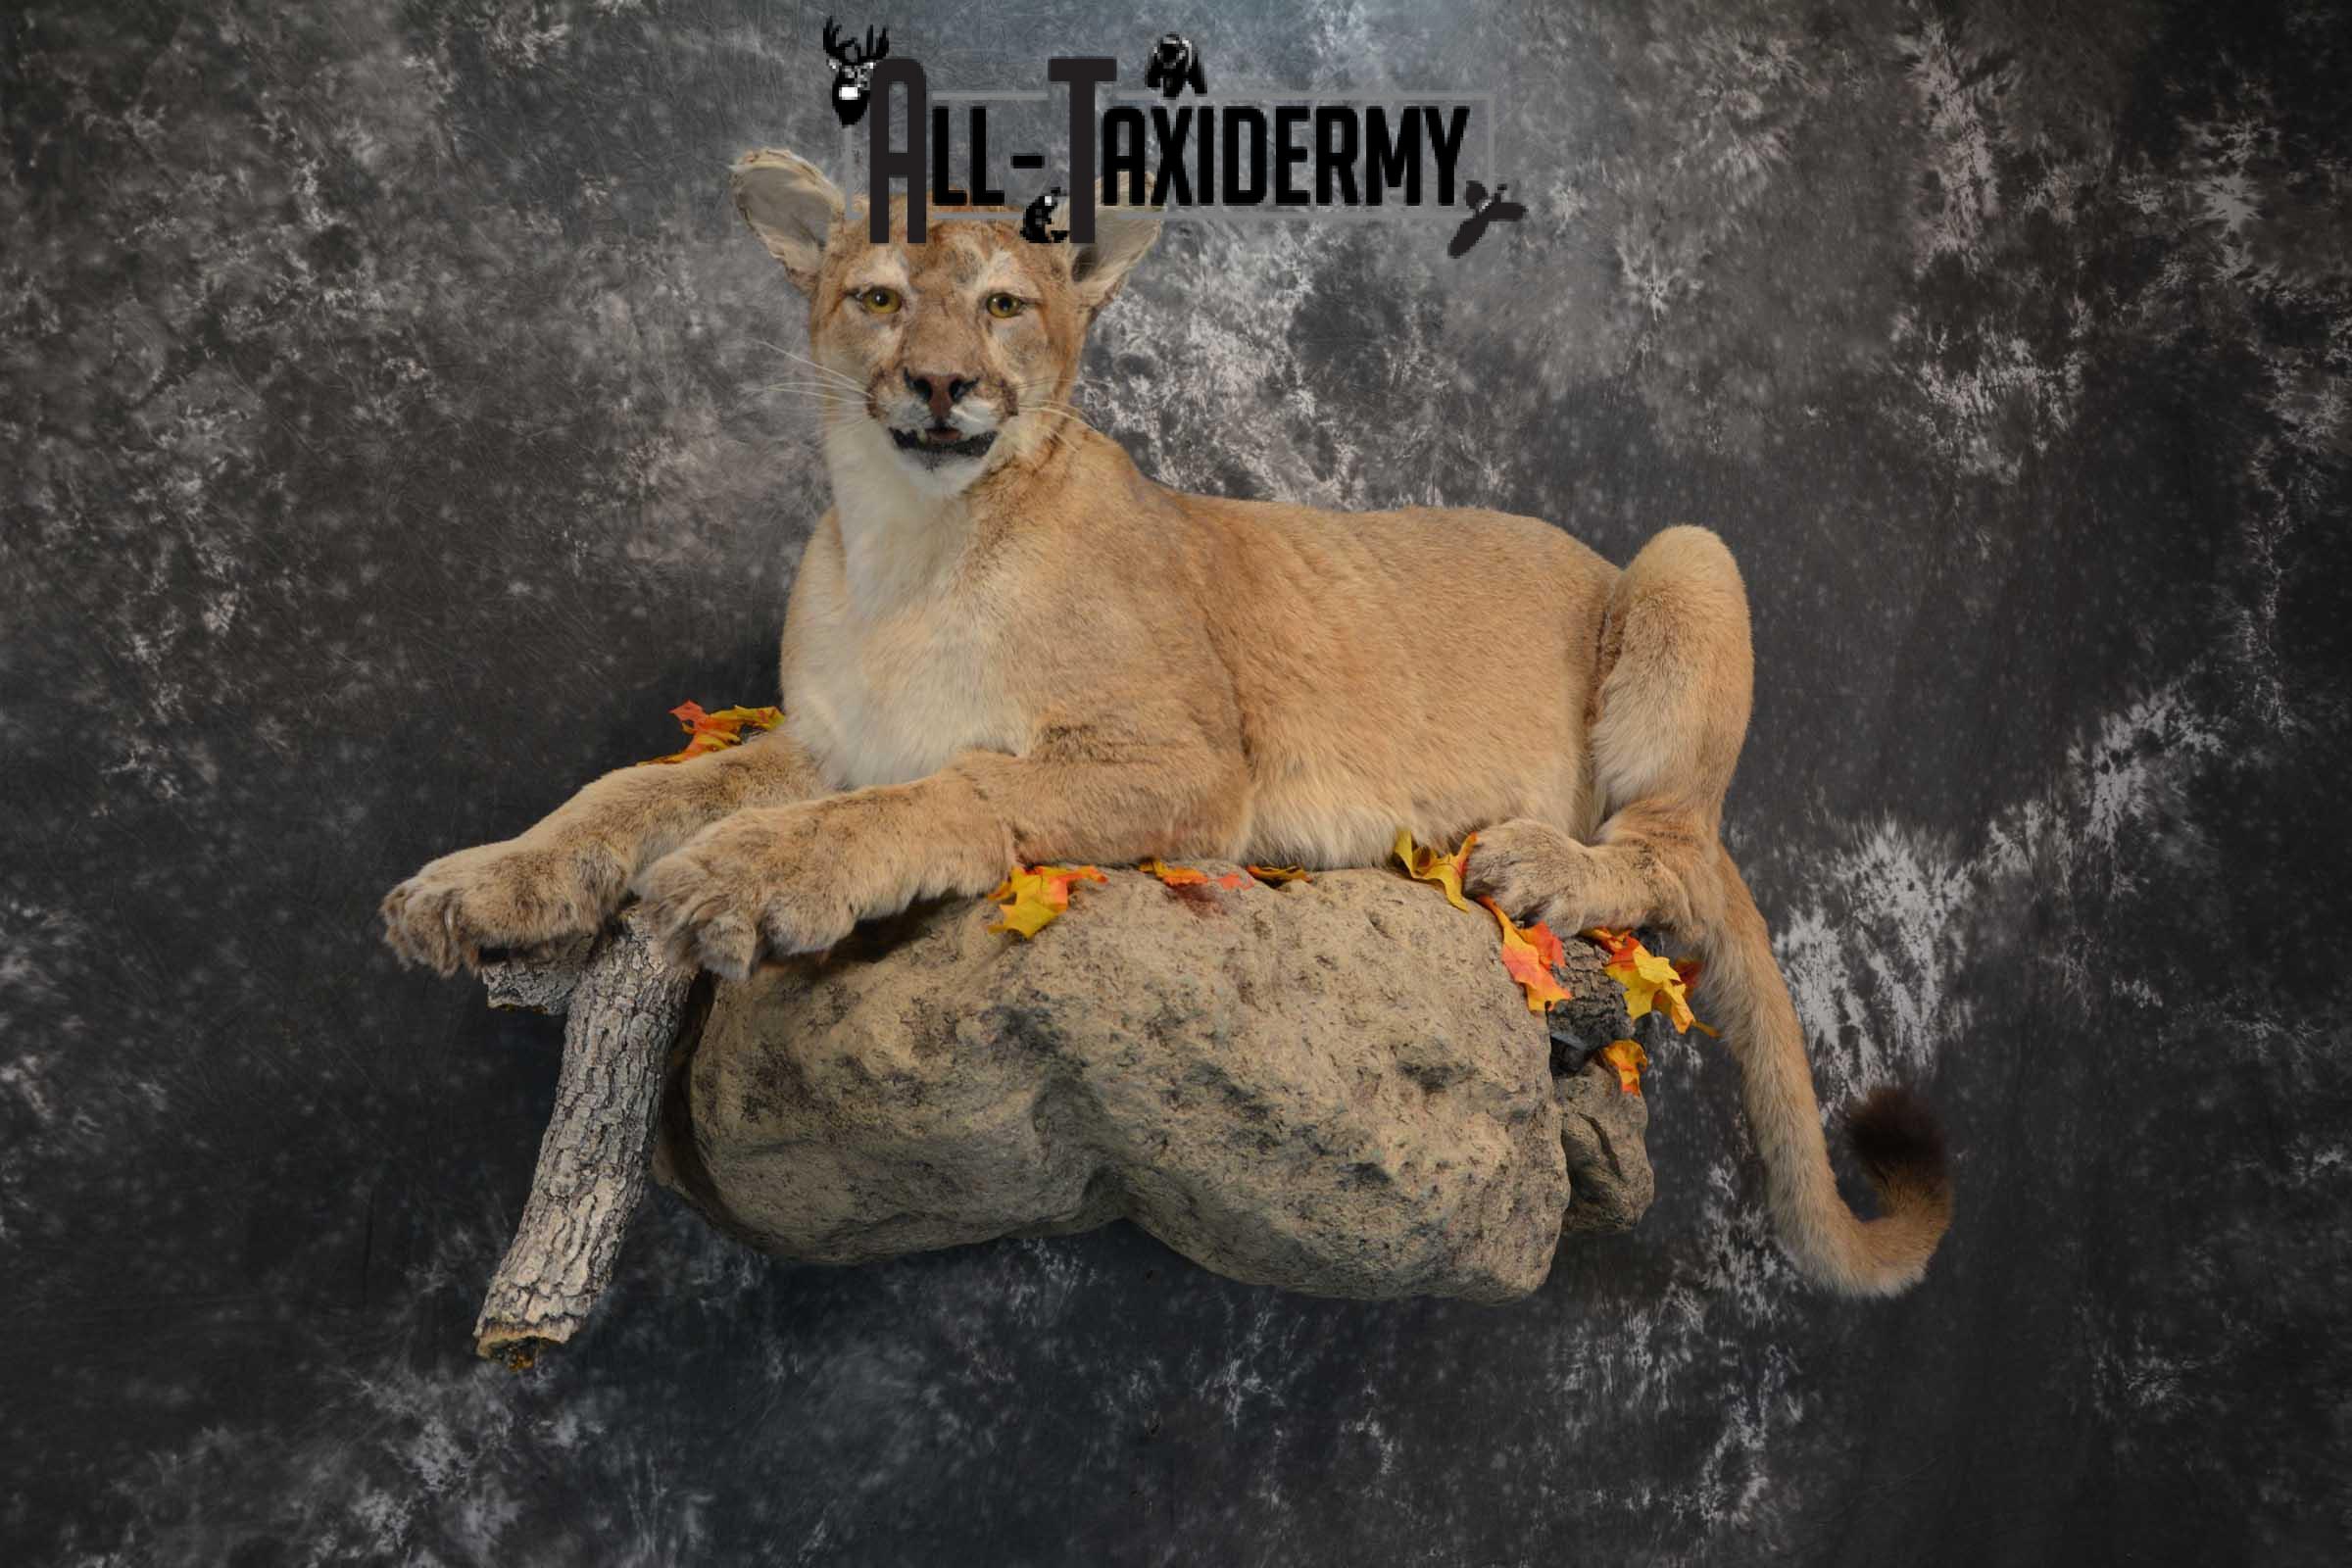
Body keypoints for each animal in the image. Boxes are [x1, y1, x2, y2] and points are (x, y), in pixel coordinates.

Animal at [381, 150, 1952, 1296]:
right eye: (880, 298)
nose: (943, 384)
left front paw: (751, 877)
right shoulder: (807, 737)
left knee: (1672, 853)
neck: (909, 546)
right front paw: (478, 885)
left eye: (1003, 305)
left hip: (1689, 557)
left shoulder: (1189, 765)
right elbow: (631, 789)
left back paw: (1538, 862)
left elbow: (948, 789)